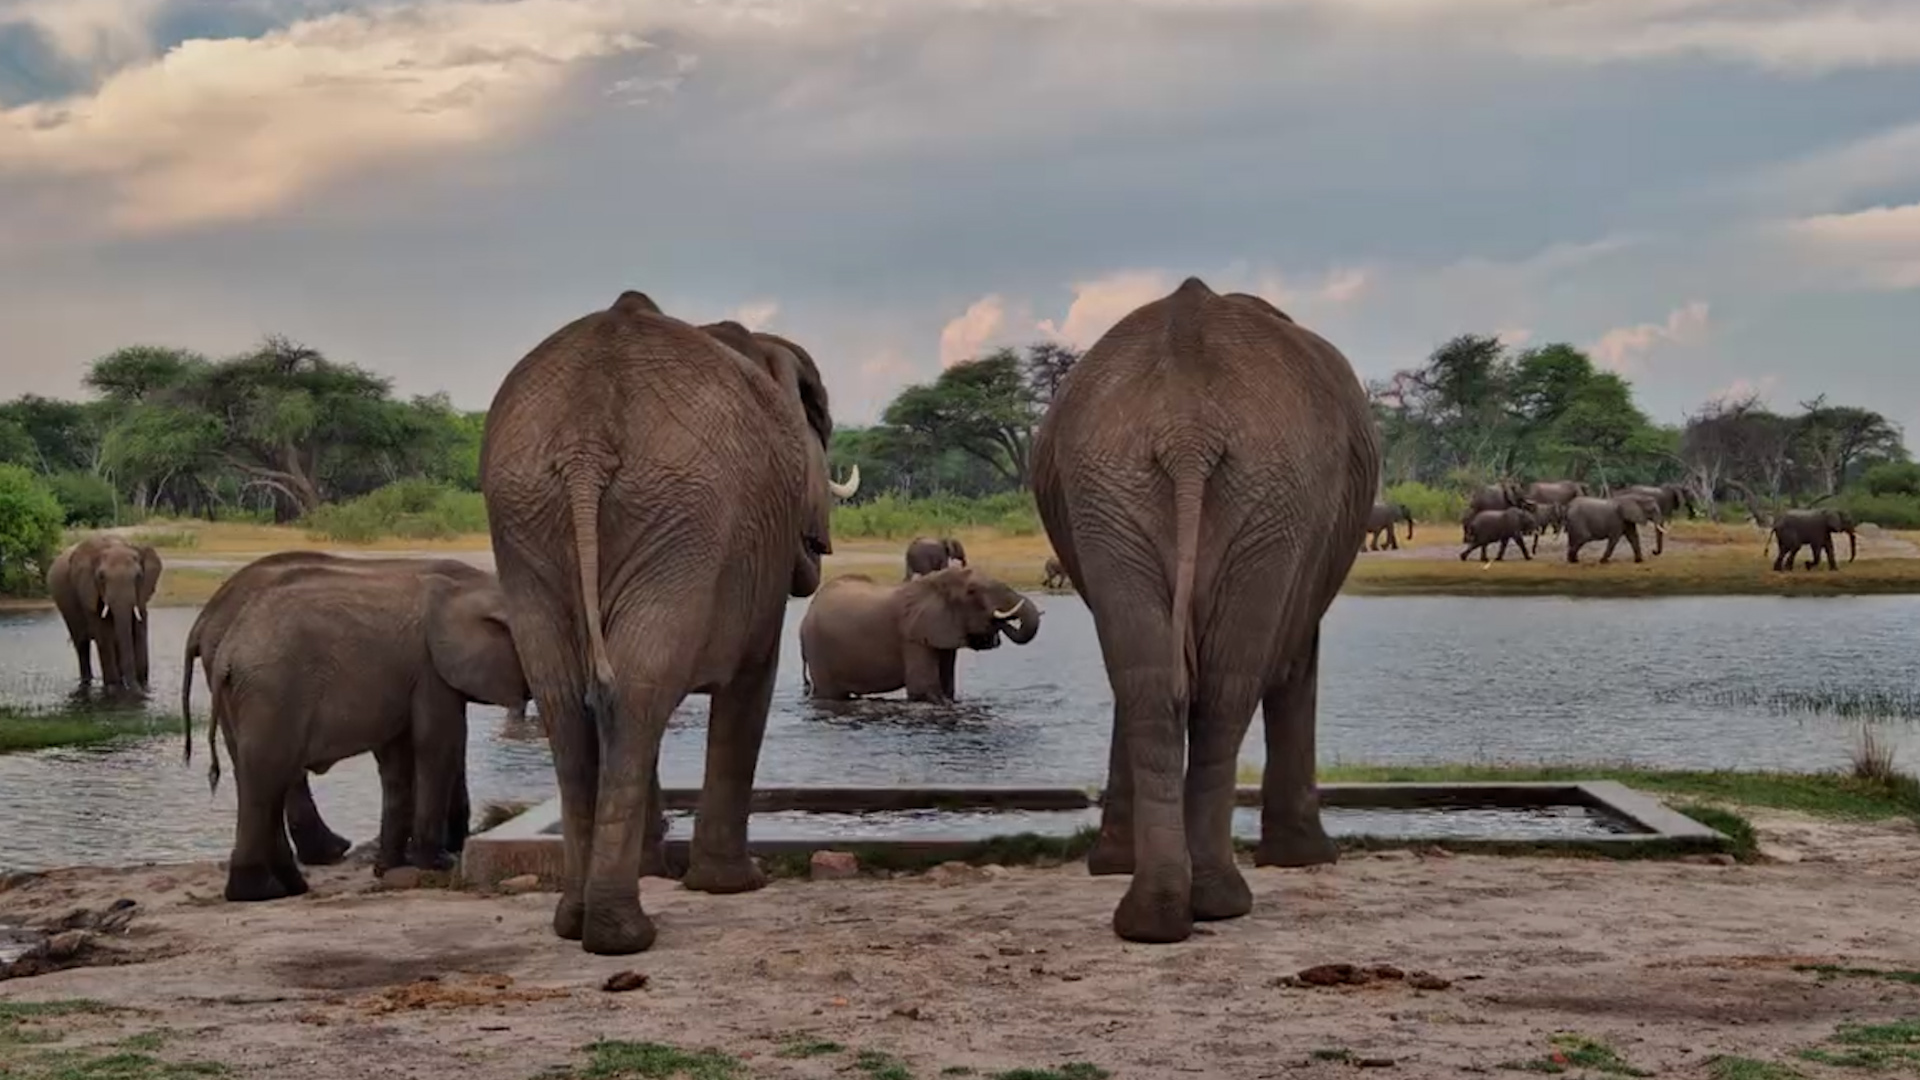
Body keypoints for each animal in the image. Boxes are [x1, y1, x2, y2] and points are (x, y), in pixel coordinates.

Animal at [48, 535, 163, 692]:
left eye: (139, 576)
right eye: (101, 577)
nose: (134, 687)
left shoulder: (142, 594)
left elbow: (139, 631)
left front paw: (143, 687)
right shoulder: (88, 590)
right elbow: (104, 634)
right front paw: (113, 688)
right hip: (67, 609)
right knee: (82, 644)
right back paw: (87, 681)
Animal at [209, 568, 528, 901]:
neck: (466, 590)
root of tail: (227, 653)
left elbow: (397, 760)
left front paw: (389, 868)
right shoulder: (430, 671)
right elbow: (438, 744)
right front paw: (439, 863)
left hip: (246, 700)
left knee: (263, 780)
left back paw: (289, 887)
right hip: (273, 693)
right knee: (267, 778)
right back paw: (258, 892)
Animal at [480, 291, 859, 955]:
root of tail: (585, 440)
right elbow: (751, 682)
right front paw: (734, 885)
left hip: (531, 516)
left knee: (579, 697)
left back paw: (577, 922)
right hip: (680, 517)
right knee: (635, 694)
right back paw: (623, 935)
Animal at [799, 566, 1040, 703]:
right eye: (972, 592)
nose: (999, 621)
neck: (936, 582)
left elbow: (948, 686)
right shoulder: (913, 634)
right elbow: (922, 690)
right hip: (817, 648)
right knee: (830, 694)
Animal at [1030, 278, 1380, 944]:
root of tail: (1186, 427)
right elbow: (1295, 664)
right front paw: (1308, 860)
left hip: (1124, 488)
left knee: (1149, 683)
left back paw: (1155, 918)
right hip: (1265, 497)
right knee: (1226, 688)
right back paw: (1216, 903)